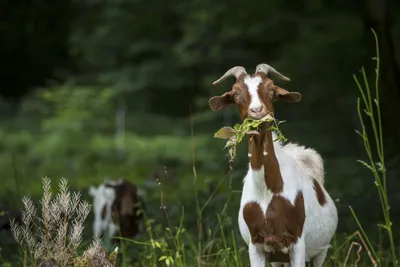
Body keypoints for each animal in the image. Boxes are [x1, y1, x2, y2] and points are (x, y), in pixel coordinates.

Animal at [209, 64, 338, 267]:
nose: (257, 111)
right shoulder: (256, 245)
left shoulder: (297, 242)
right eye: (235, 93)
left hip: (321, 250)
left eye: (271, 88)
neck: (268, 190)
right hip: (279, 258)